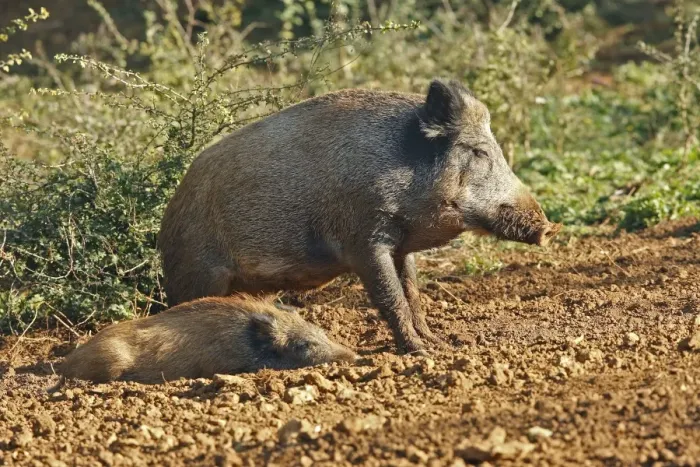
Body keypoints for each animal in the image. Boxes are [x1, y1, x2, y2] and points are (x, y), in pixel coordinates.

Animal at [157, 78, 561, 354]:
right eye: (478, 152)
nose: (549, 228)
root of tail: (168, 217)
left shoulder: (401, 246)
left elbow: (413, 293)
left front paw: (437, 341)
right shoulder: (363, 240)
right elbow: (390, 297)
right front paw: (420, 351)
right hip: (197, 272)